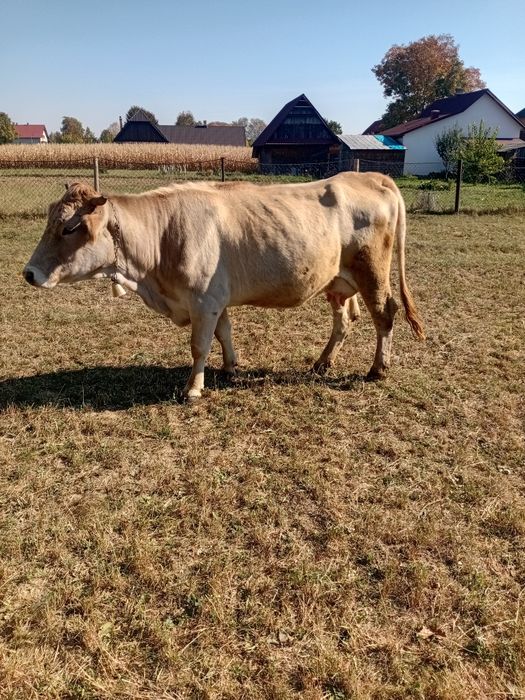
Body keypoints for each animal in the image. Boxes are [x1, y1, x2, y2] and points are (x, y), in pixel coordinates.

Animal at [23, 173, 424, 399]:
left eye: (69, 228)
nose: (29, 273)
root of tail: (371, 176)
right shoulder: (217, 299)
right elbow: (224, 333)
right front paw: (231, 368)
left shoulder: (203, 299)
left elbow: (199, 345)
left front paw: (193, 388)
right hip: (336, 281)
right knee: (343, 321)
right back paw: (322, 363)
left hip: (372, 272)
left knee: (384, 315)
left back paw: (377, 370)